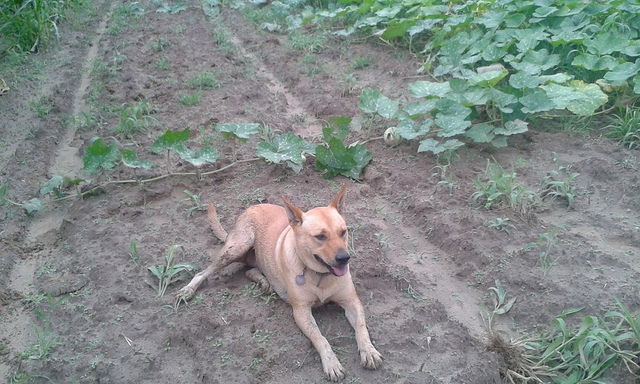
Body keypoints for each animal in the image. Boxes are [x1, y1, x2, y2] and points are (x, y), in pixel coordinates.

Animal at [178, 186, 382, 380]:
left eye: (343, 232)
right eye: (320, 236)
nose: (344, 258)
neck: (320, 275)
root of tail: (251, 207)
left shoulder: (351, 301)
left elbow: (361, 327)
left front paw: (369, 351)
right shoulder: (301, 311)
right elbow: (320, 337)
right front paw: (331, 362)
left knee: (250, 270)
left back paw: (264, 281)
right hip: (237, 247)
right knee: (204, 271)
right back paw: (188, 289)